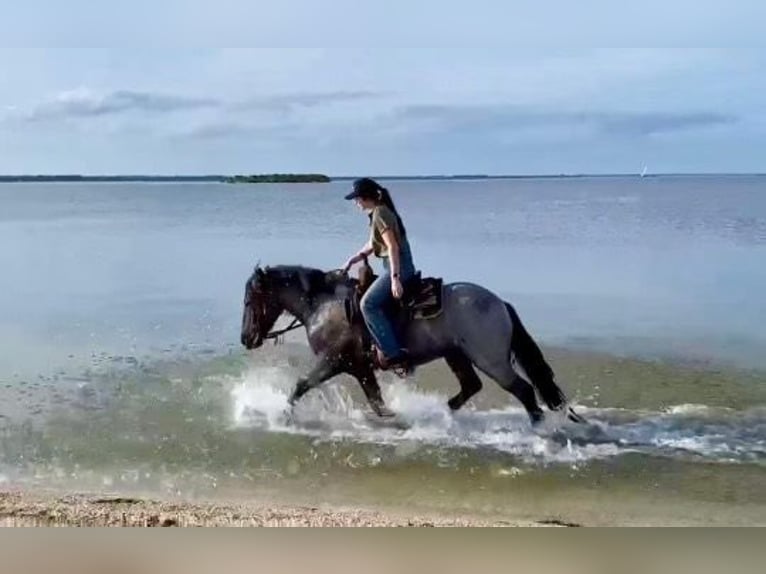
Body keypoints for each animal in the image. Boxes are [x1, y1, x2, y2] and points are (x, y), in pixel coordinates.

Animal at [242, 264, 588, 428]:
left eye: (249, 300)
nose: (247, 338)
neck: (324, 305)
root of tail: (499, 303)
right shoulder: (361, 368)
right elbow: (377, 403)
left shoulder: (335, 361)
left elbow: (301, 384)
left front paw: (281, 416)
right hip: (456, 354)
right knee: (471, 386)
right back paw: (441, 413)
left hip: (491, 360)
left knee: (524, 391)